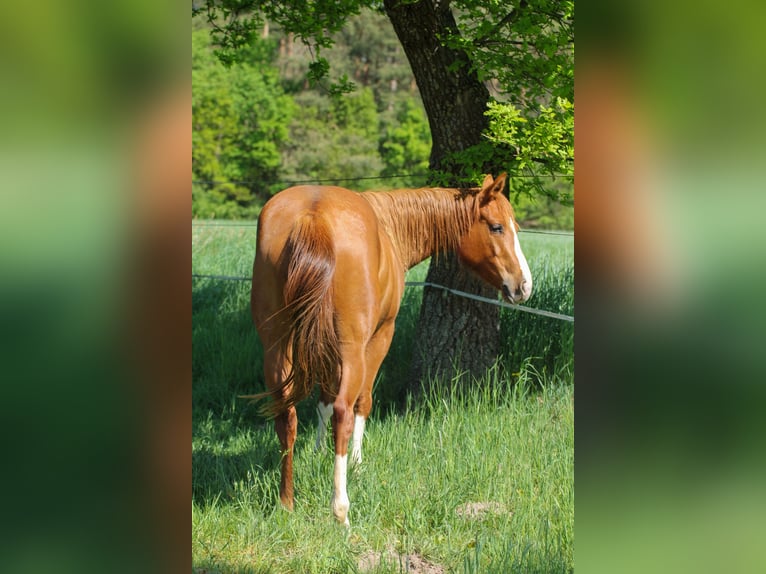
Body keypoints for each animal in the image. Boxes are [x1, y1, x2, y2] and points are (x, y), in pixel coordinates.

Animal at [249, 173, 532, 526]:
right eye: (497, 227)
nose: (524, 286)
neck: (389, 228)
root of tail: (312, 217)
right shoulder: (380, 336)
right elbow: (361, 402)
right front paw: (356, 465)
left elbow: (323, 401)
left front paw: (316, 453)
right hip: (352, 349)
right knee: (343, 411)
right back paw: (340, 509)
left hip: (276, 347)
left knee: (287, 414)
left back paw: (286, 502)